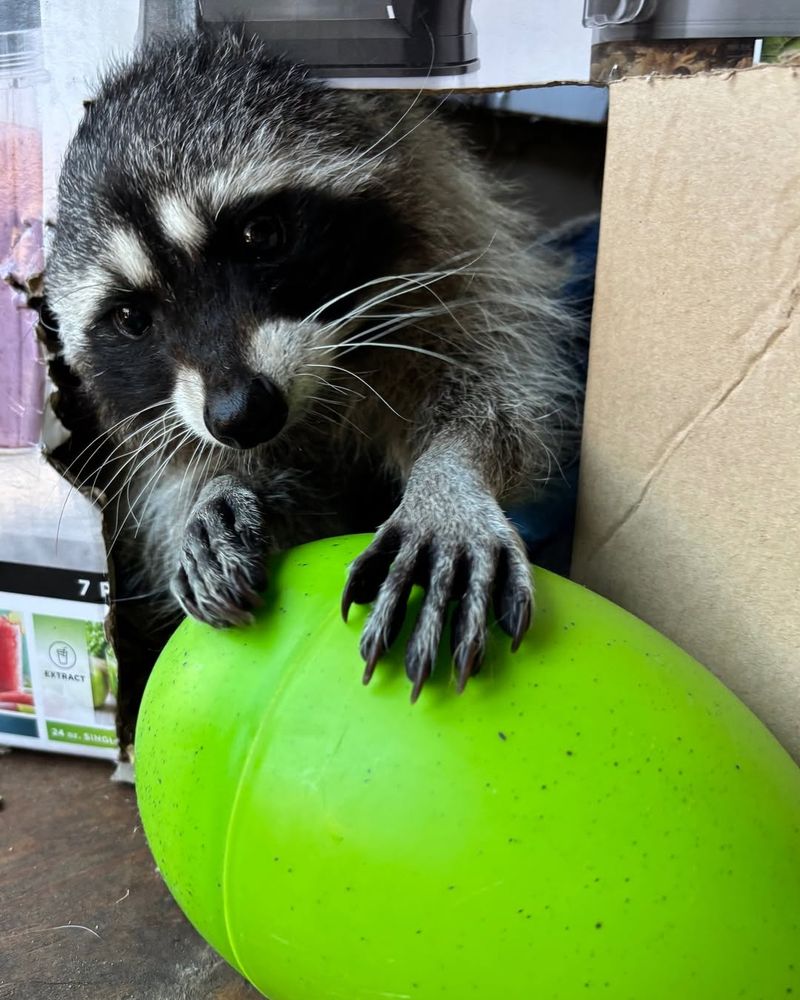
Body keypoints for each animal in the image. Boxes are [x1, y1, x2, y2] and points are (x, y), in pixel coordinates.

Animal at [46, 30, 582, 731]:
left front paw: (451, 474)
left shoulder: (466, 266)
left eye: (260, 234)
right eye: (132, 318)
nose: (242, 414)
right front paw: (216, 486)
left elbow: (496, 395)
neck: (319, 397)